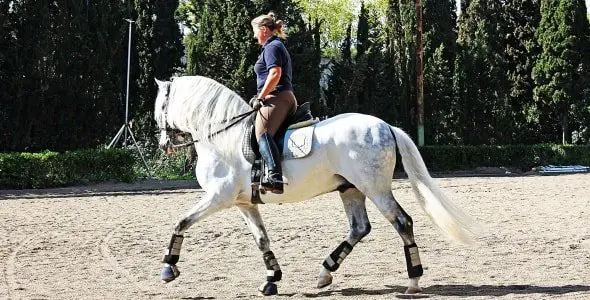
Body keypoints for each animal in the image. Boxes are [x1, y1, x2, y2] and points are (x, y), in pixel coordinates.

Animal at [155, 75, 478, 296]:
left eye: (160, 107)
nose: (163, 145)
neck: (220, 138)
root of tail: (386, 126)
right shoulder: (244, 203)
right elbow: (262, 240)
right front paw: (272, 279)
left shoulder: (218, 197)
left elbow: (181, 222)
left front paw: (169, 267)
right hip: (351, 189)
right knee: (360, 227)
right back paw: (325, 273)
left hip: (374, 188)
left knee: (402, 222)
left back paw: (413, 279)